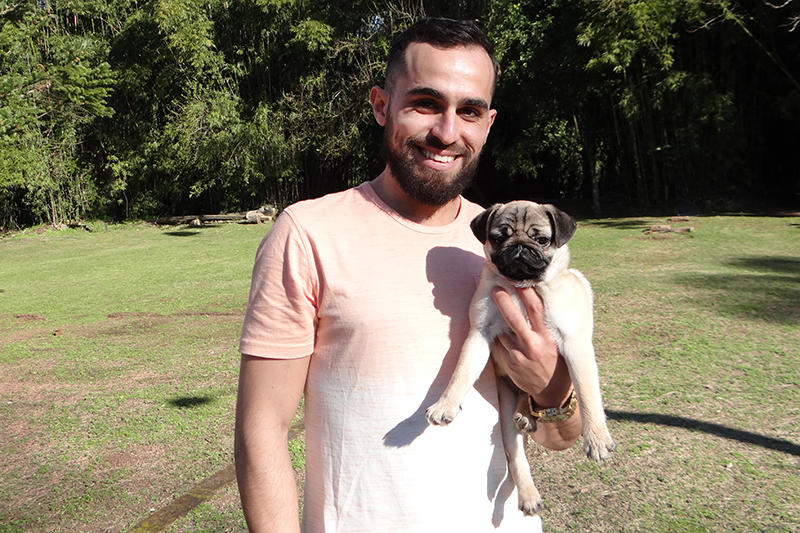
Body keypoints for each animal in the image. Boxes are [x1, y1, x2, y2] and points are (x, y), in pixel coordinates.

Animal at [426, 200, 615, 515]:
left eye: (542, 240)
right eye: (499, 238)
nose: (519, 247)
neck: (520, 287)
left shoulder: (575, 343)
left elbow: (589, 396)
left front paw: (597, 439)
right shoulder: (480, 332)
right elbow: (461, 373)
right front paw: (445, 404)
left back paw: (527, 415)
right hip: (504, 412)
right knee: (515, 456)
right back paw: (528, 492)